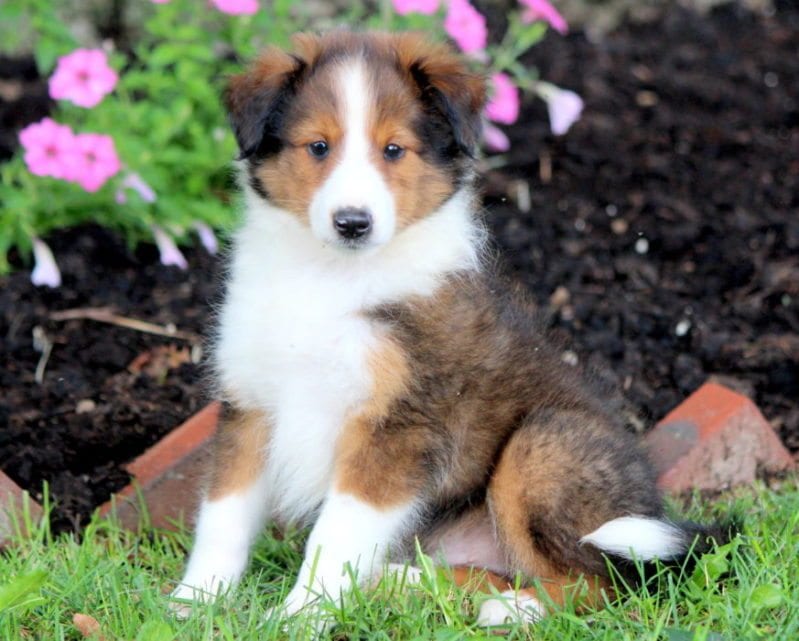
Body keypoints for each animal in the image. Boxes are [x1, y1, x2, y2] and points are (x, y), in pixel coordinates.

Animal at [172, 32, 728, 628]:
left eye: (394, 150)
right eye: (318, 147)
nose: (353, 223)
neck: (331, 277)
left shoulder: (397, 426)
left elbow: (334, 536)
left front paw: (301, 616)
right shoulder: (249, 403)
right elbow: (223, 516)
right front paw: (194, 601)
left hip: (544, 448)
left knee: (600, 585)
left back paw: (511, 609)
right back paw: (400, 581)